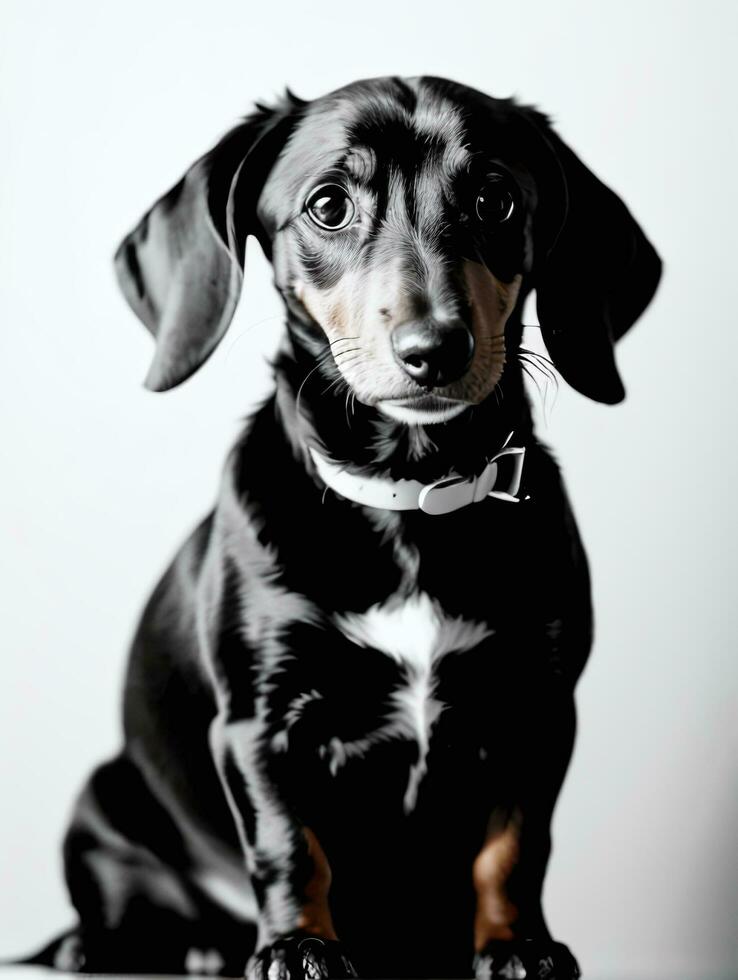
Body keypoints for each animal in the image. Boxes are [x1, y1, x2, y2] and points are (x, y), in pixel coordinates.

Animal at [27, 78, 660, 980]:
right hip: (104, 798)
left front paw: (518, 944)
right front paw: (299, 945)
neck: (410, 494)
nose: (434, 349)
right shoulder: (260, 722)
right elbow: (291, 845)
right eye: (328, 205)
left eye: (497, 200)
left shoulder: (538, 709)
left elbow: (514, 848)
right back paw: (125, 946)